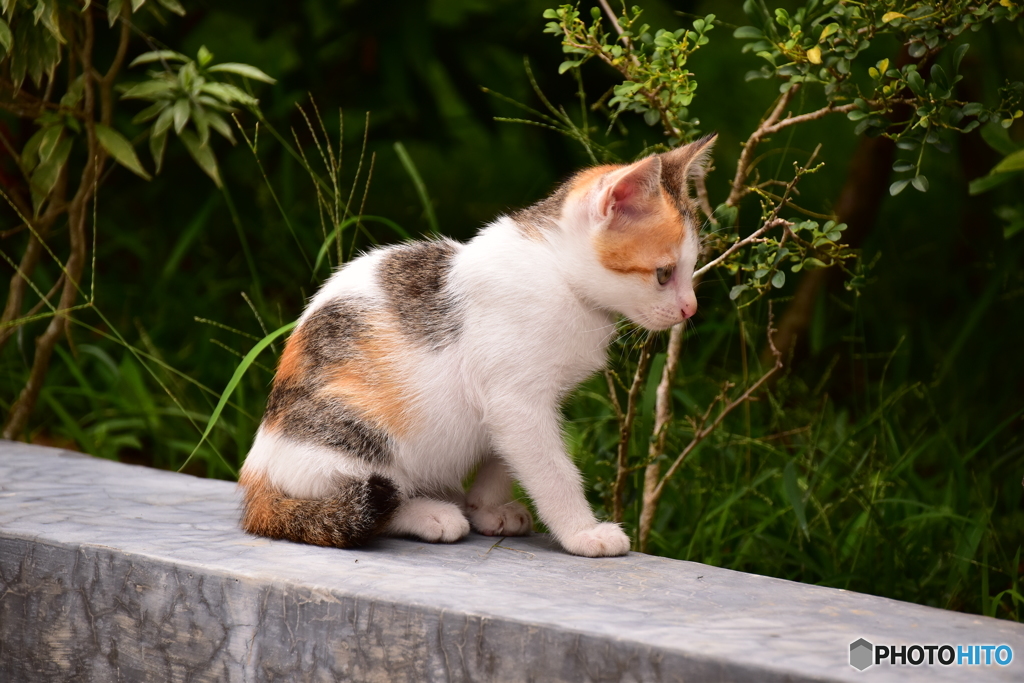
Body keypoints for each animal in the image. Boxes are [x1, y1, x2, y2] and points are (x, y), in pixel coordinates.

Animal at [239, 133, 716, 557]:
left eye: (692, 267)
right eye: (663, 273)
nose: (690, 309)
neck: (556, 273)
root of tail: (255, 476)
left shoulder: (521, 403)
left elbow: (504, 457)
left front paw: (487, 507)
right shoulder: (515, 400)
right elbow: (552, 470)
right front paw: (582, 533)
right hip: (354, 429)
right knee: (363, 496)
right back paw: (428, 513)